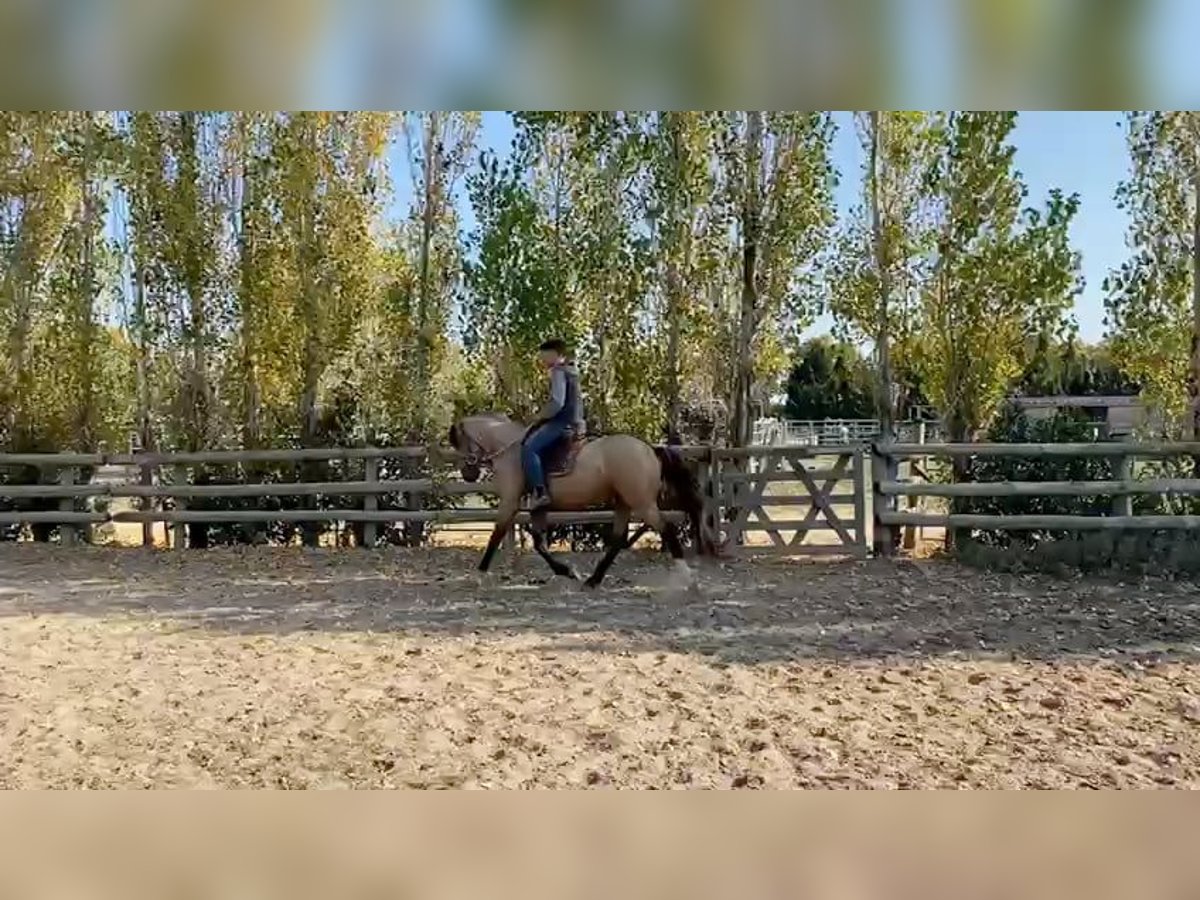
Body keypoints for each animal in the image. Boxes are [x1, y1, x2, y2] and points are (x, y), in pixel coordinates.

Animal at [447, 412, 722, 587]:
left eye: (460, 444)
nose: (467, 474)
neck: (511, 449)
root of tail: (650, 449)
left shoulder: (509, 502)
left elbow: (496, 536)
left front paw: (480, 575)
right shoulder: (538, 507)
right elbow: (539, 542)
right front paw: (568, 571)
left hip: (642, 502)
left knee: (666, 529)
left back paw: (686, 577)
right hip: (624, 502)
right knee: (619, 538)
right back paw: (593, 580)